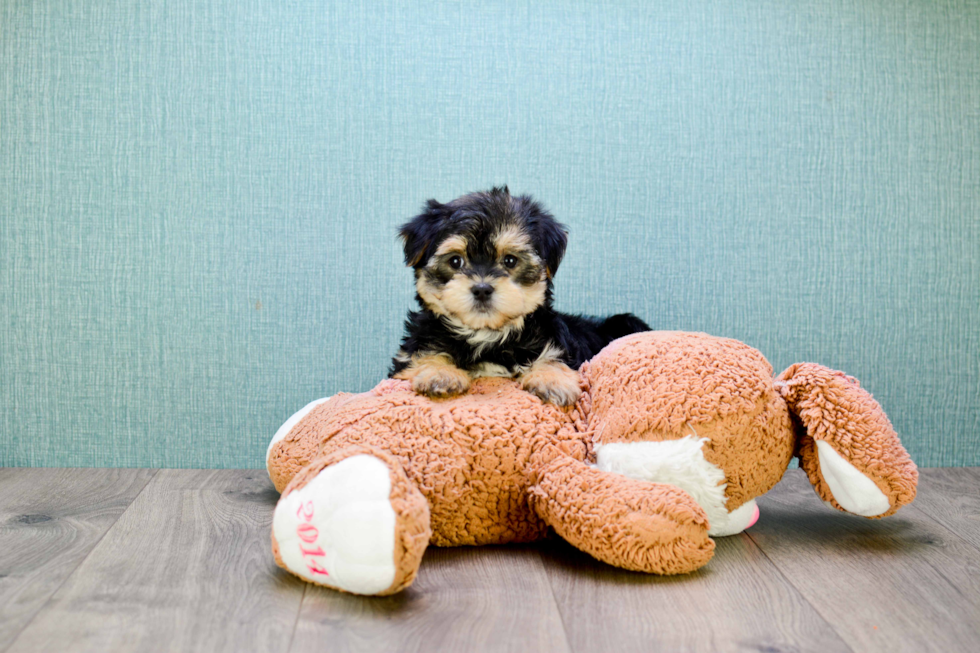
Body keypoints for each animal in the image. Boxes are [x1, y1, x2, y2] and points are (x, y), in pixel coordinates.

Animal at [390, 186, 652, 404]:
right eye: (456, 261)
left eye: (510, 261)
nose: (482, 288)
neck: (486, 334)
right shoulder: (410, 354)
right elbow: (423, 355)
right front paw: (439, 373)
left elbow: (552, 356)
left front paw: (552, 380)